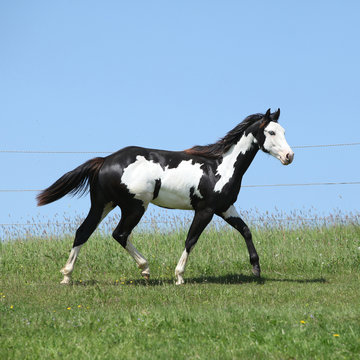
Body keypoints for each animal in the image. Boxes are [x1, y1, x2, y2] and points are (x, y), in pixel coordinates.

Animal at [37, 107, 296, 284]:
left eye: (284, 131)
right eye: (271, 132)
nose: (289, 156)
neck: (220, 167)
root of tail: (104, 161)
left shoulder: (225, 208)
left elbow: (246, 231)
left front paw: (256, 269)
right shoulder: (206, 210)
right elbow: (191, 239)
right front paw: (179, 276)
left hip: (104, 204)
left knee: (84, 231)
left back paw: (67, 276)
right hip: (135, 206)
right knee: (119, 234)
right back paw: (145, 268)